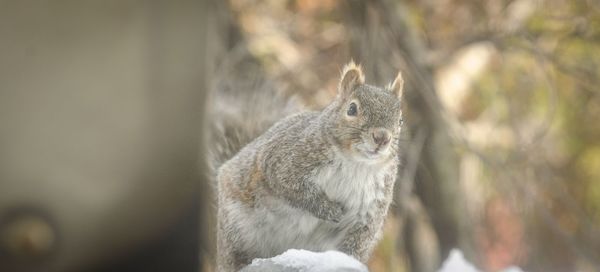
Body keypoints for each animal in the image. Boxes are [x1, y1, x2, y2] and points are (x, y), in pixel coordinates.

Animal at [214, 61, 404, 272]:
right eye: (352, 109)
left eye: (400, 120)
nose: (382, 137)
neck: (356, 164)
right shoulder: (283, 161)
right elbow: (293, 189)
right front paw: (329, 209)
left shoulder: (370, 211)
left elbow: (355, 244)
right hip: (236, 230)